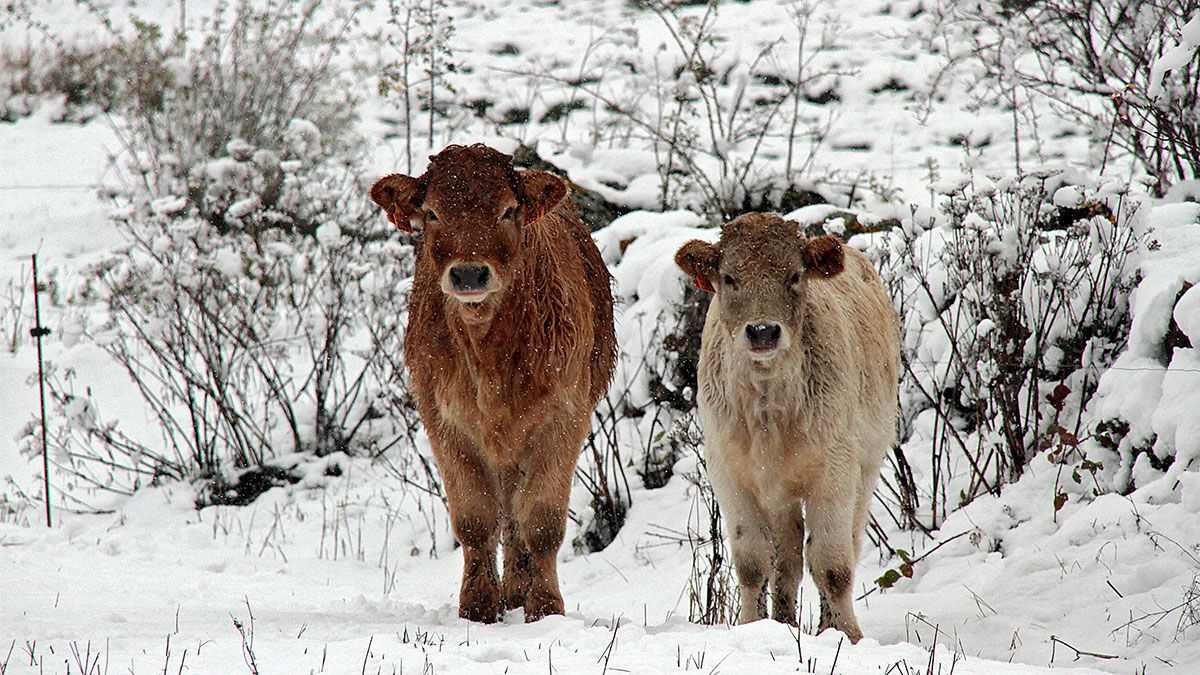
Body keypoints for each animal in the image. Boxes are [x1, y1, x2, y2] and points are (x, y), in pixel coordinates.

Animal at [367, 144, 614, 624]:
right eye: (432, 213)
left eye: (507, 210)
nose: (468, 274)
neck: (490, 354)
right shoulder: (444, 422)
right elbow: (475, 519)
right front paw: (478, 605)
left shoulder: (564, 419)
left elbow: (541, 521)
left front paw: (545, 607)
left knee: (517, 516)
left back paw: (519, 591)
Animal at [681, 212, 897, 638]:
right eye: (728, 277)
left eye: (795, 276)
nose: (763, 331)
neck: (768, 411)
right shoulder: (729, 474)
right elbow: (753, 563)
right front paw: (751, 625)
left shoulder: (835, 471)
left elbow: (832, 565)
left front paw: (847, 635)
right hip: (779, 493)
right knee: (789, 558)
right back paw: (783, 621)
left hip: (866, 468)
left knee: (842, 546)